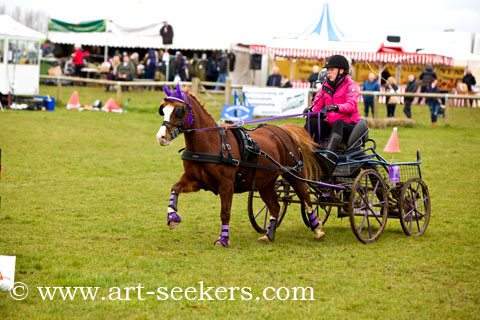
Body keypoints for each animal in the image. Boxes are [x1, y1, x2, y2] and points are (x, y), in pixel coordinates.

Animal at [157, 84, 322, 246]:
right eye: (163, 109)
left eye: (179, 110)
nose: (161, 137)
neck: (212, 143)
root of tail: (284, 131)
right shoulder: (196, 180)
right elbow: (175, 188)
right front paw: (172, 217)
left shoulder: (226, 184)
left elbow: (225, 212)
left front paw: (223, 238)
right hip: (265, 183)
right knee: (275, 206)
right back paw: (268, 235)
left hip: (294, 174)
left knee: (306, 199)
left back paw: (317, 229)